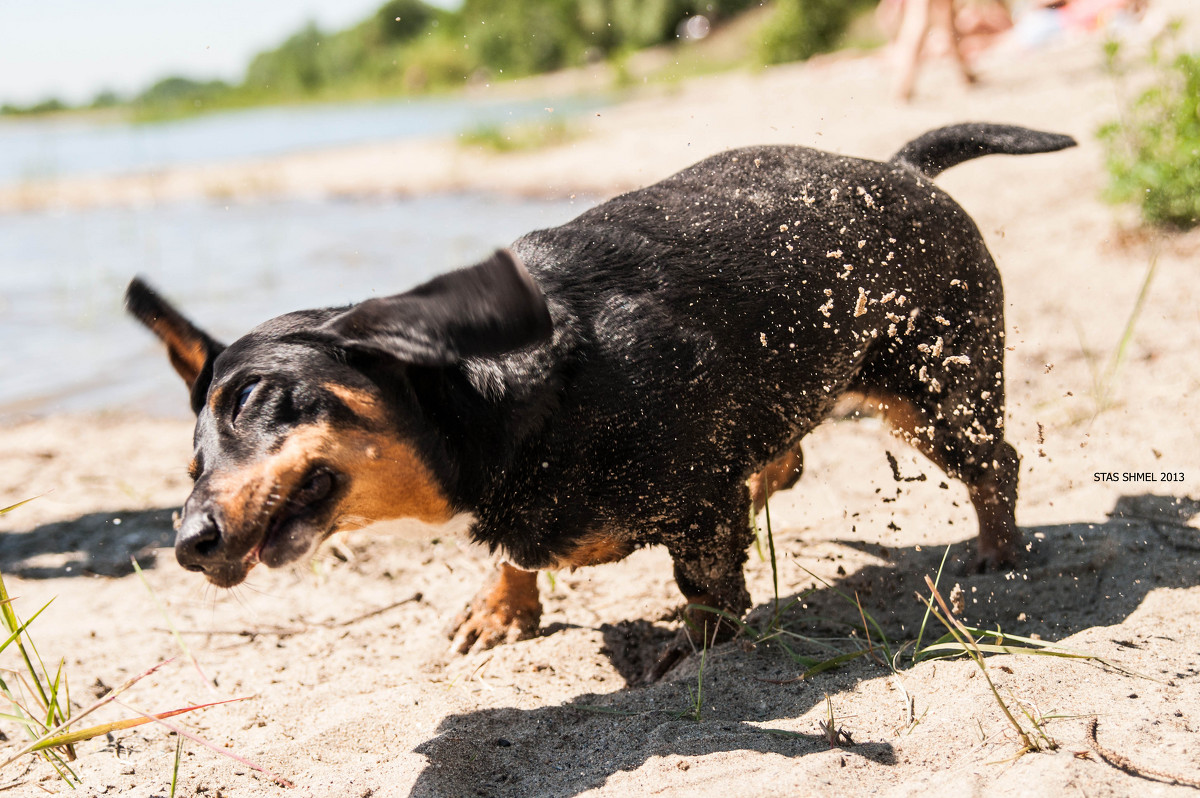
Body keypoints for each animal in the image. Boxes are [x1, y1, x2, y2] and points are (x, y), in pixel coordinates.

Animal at [126, 124, 1075, 667]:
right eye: (189, 462)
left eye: (255, 397)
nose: (187, 543)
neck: (523, 396)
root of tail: (902, 169)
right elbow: (514, 555)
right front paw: (502, 608)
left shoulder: (698, 509)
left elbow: (709, 588)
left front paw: (694, 645)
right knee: (791, 459)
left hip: (938, 394)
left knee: (997, 462)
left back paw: (998, 550)